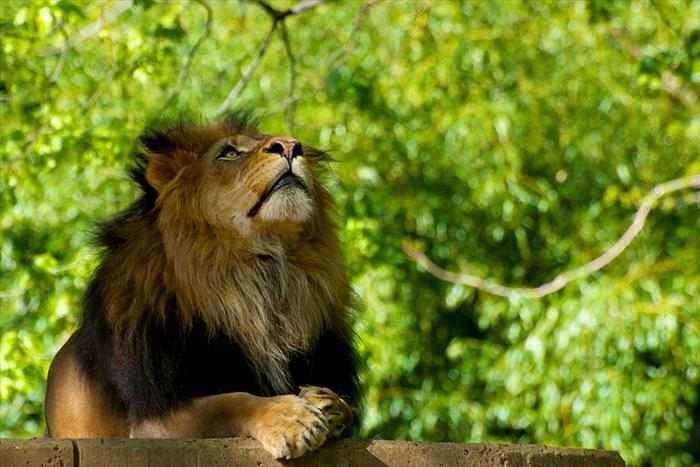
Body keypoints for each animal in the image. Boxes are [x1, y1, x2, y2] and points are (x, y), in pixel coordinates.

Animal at [43, 114, 358, 460]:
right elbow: (232, 401)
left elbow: (347, 407)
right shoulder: (152, 422)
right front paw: (292, 419)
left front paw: (328, 403)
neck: (261, 277)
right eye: (229, 153)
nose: (290, 145)